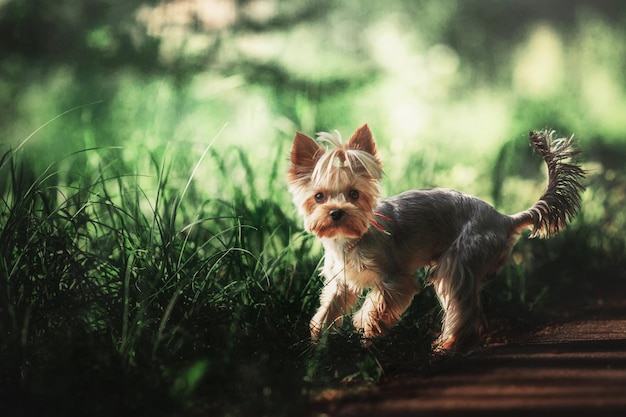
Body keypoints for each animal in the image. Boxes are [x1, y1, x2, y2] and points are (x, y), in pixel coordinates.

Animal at [286, 123, 584, 352]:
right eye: (319, 197)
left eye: (354, 194)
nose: (336, 213)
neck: (351, 239)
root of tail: (503, 219)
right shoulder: (341, 283)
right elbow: (328, 309)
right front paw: (318, 342)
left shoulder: (395, 280)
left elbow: (375, 308)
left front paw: (367, 333)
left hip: (457, 262)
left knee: (463, 308)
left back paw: (451, 345)